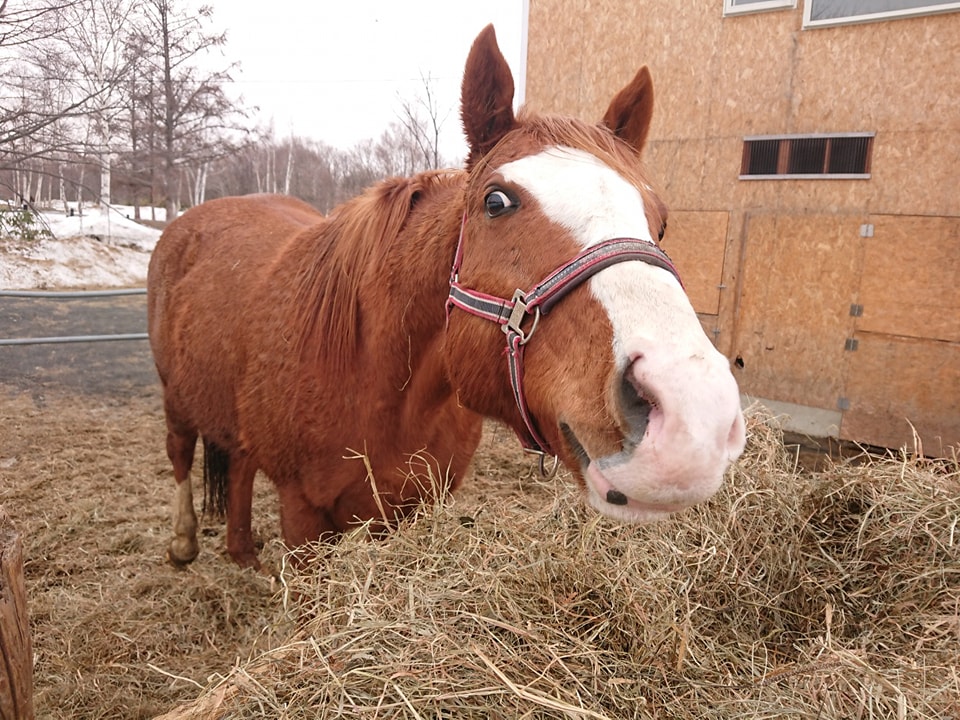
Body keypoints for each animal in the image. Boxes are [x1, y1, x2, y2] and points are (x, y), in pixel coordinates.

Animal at [146, 26, 748, 568]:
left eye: (661, 222)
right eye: (496, 202)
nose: (693, 414)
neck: (377, 381)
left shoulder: (406, 508)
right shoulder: (303, 516)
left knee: (239, 462)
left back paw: (242, 551)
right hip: (174, 396)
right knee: (180, 453)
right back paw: (183, 544)